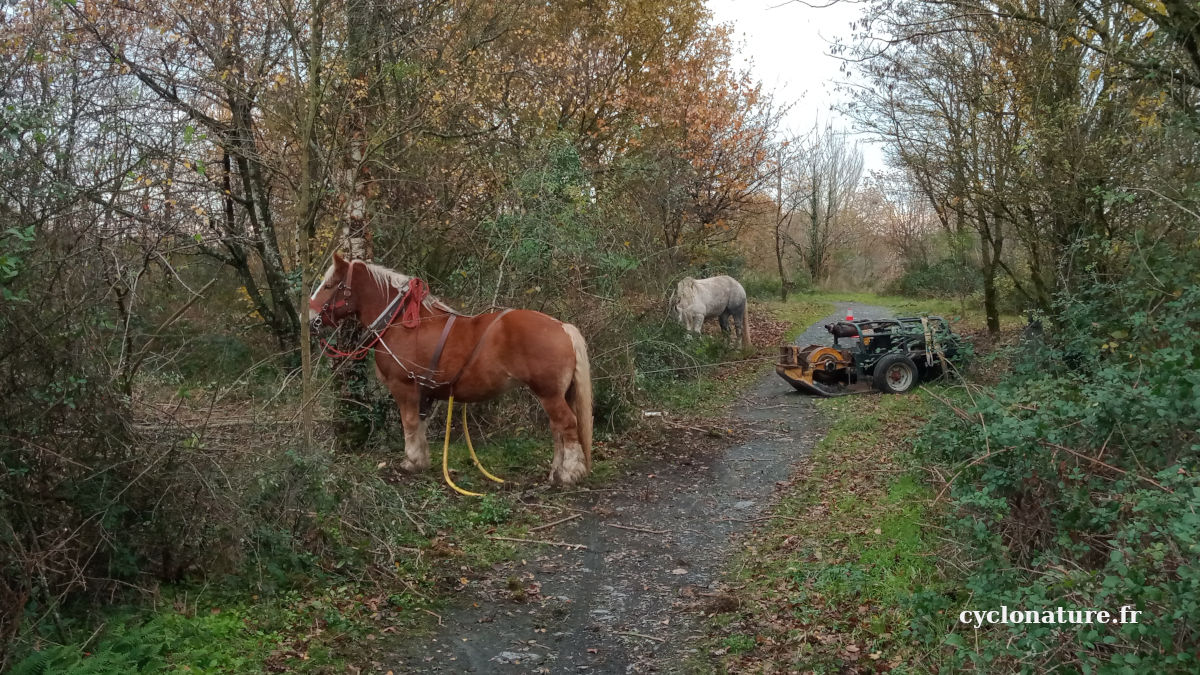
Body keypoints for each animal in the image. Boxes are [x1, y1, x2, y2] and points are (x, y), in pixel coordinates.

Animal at [308, 253, 593, 486]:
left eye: (329, 285)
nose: (310, 318)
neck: (400, 322)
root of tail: (561, 327)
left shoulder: (404, 387)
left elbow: (409, 423)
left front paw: (411, 462)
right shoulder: (424, 392)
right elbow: (419, 425)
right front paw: (421, 460)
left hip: (549, 394)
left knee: (567, 425)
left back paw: (569, 473)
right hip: (555, 394)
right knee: (557, 429)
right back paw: (556, 472)